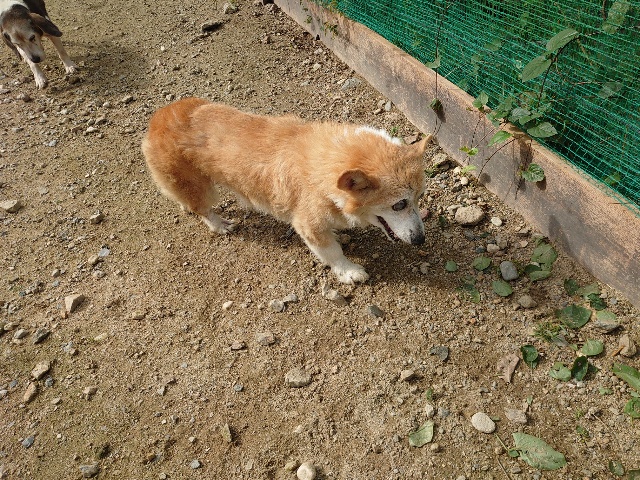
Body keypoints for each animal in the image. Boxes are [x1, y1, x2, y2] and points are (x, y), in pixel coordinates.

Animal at [142, 98, 431, 284]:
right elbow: (333, 253)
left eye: (418, 199)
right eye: (399, 204)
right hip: (200, 187)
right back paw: (219, 224)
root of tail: (158, 117)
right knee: (203, 209)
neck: (327, 162)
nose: (420, 241)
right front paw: (349, 272)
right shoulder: (308, 225)